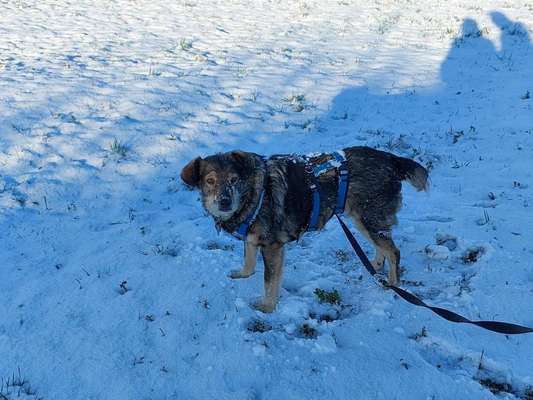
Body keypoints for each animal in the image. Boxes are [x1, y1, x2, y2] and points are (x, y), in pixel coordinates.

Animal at [181, 146, 430, 312]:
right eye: (210, 181)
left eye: (234, 180)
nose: (224, 202)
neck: (254, 194)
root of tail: (391, 159)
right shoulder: (252, 240)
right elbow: (249, 261)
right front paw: (243, 274)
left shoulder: (272, 247)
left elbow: (269, 282)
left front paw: (267, 308)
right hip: (364, 220)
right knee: (383, 248)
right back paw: (375, 268)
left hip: (368, 219)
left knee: (393, 251)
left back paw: (393, 285)